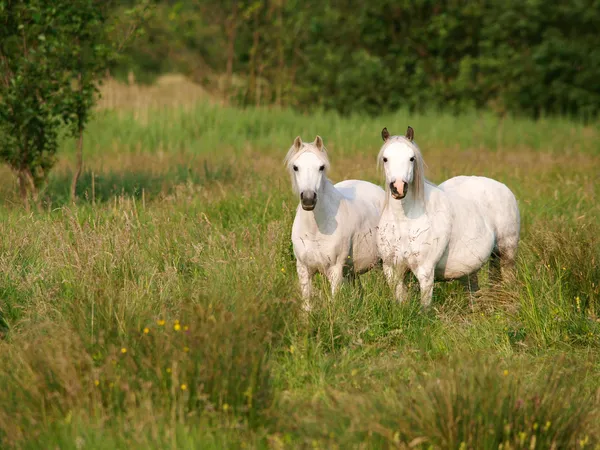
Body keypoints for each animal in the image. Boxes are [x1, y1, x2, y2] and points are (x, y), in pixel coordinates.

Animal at [284, 134, 384, 310]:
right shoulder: (303, 269)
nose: (308, 199)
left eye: (321, 167)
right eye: (295, 167)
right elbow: (307, 305)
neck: (315, 229)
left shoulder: (335, 271)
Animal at [378, 127, 516, 310]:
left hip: (507, 254)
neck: (404, 222)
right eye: (385, 158)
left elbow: (425, 307)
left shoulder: (425, 272)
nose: (399, 188)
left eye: (411, 158)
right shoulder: (391, 270)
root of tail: (503, 188)